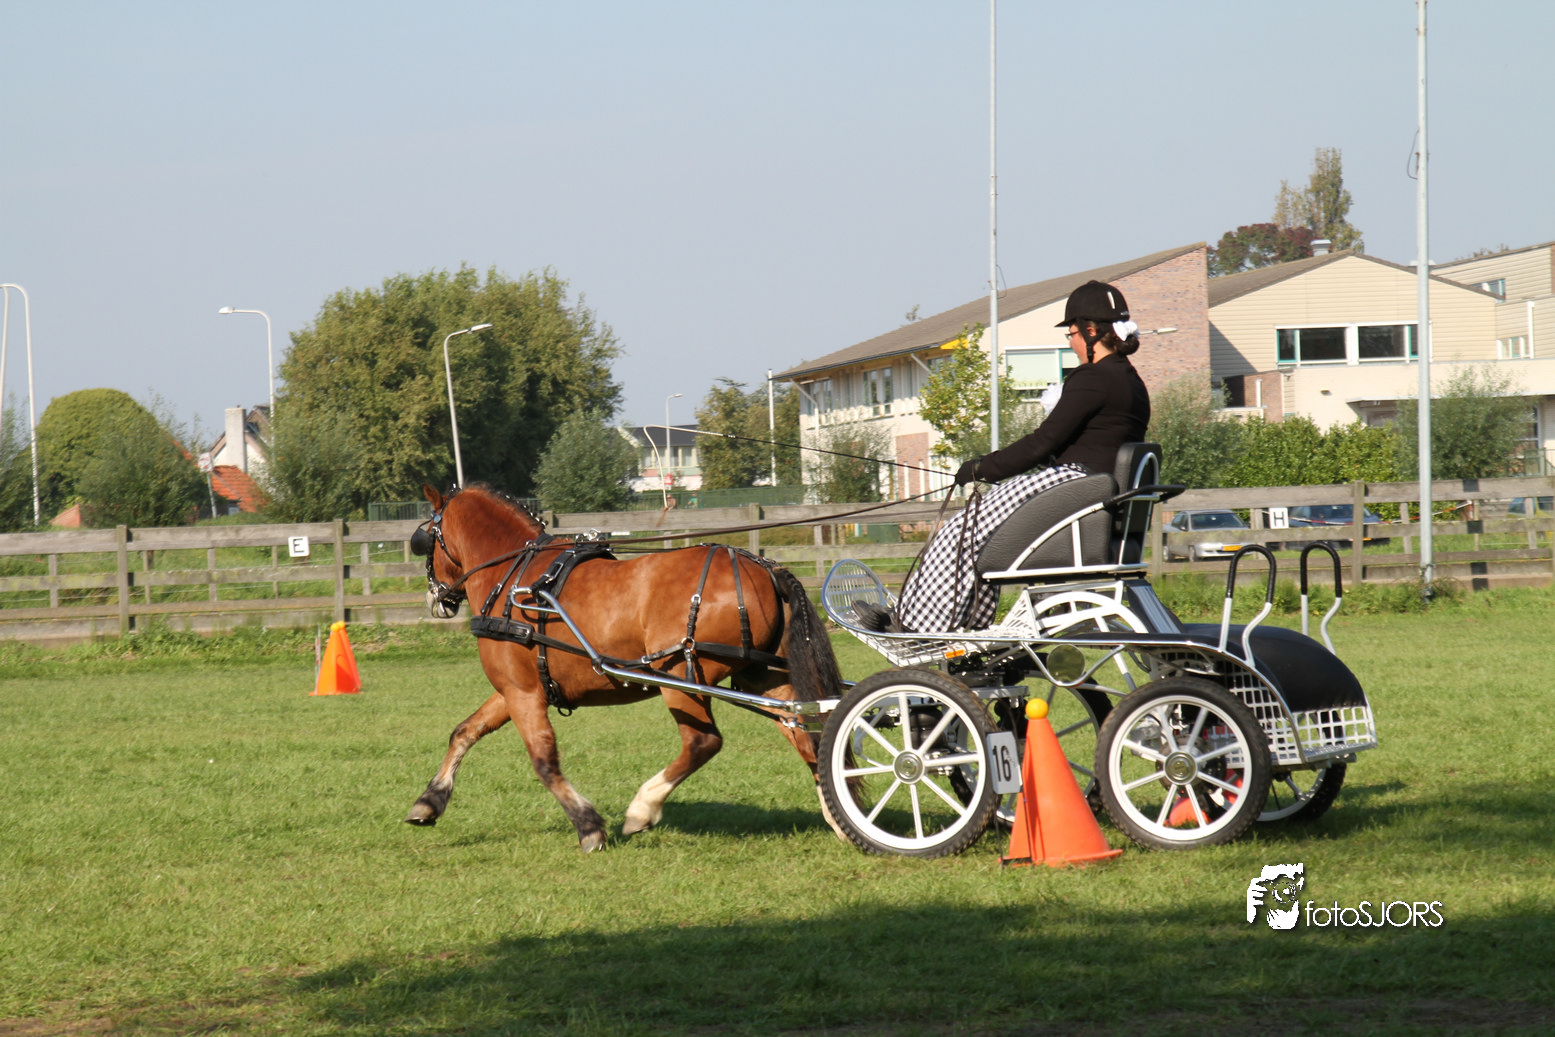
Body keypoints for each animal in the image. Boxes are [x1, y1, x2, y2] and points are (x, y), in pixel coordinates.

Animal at [404, 482, 844, 851]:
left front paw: (588, 826)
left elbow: (544, 761)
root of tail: (764, 568)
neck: (514, 576)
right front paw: (429, 801)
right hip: (765, 678)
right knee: (808, 734)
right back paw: (839, 817)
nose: (436, 600)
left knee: (703, 743)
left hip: (680, 677)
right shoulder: (513, 690)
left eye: (424, 540)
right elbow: (465, 731)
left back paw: (641, 809)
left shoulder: (523, 693)